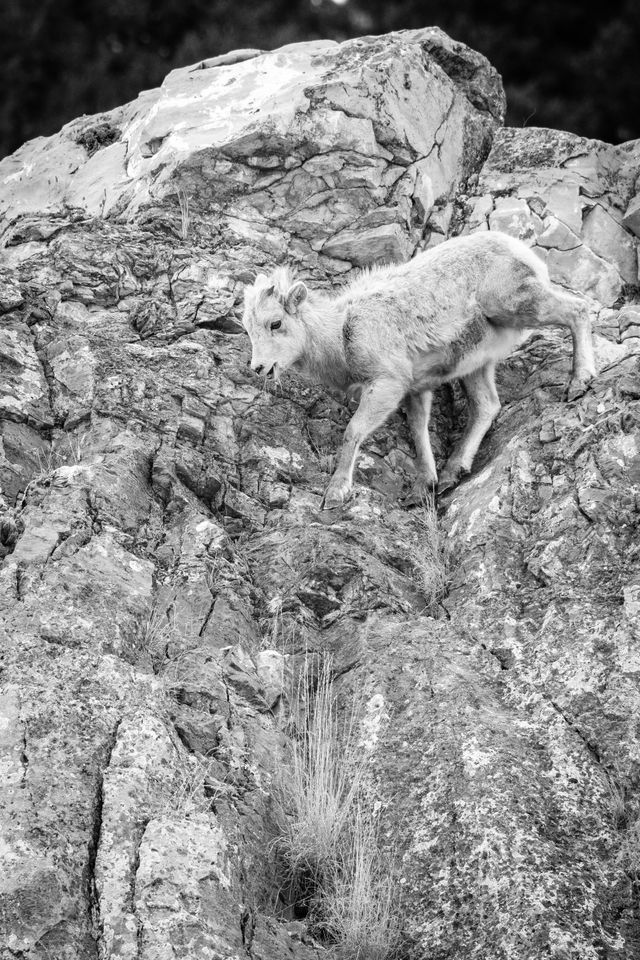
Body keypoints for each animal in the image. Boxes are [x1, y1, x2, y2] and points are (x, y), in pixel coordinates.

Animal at [241, 231, 596, 510]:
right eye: (247, 328)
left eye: (276, 323)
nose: (259, 368)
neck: (341, 335)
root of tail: (522, 251)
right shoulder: (417, 389)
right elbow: (418, 431)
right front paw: (424, 486)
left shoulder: (388, 384)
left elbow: (354, 431)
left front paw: (336, 493)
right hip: (476, 363)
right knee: (486, 406)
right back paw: (453, 472)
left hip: (512, 304)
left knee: (577, 310)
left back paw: (579, 382)